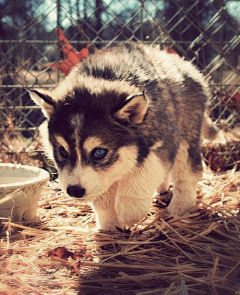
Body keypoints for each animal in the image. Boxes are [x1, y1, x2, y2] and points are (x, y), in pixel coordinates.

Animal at [28, 42, 221, 231]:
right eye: (63, 151)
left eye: (99, 152)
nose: (74, 190)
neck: (104, 76)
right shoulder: (103, 175)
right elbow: (103, 193)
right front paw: (109, 223)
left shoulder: (164, 141)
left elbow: (143, 171)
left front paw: (130, 209)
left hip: (186, 135)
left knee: (187, 171)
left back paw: (181, 205)